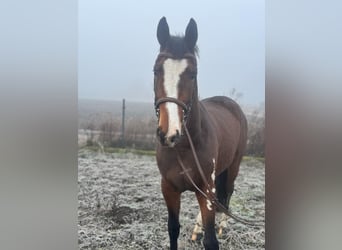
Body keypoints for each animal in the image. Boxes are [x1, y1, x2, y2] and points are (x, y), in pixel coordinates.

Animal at [154, 16, 247, 249]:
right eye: (156, 70)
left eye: (193, 74)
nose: (169, 133)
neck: (185, 146)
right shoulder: (169, 188)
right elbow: (173, 229)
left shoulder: (206, 189)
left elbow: (211, 240)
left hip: (232, 167)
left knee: (227, 194)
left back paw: (223, 226)